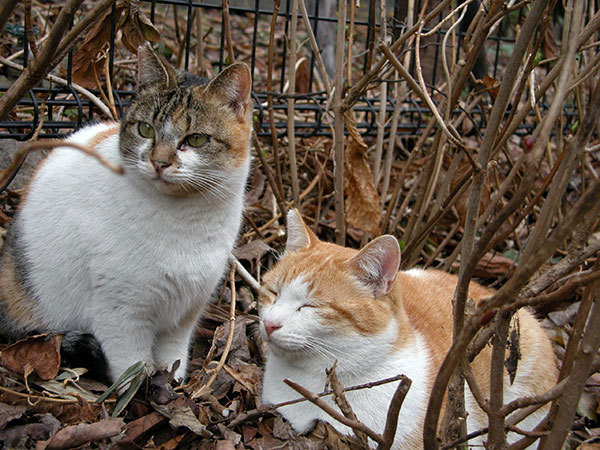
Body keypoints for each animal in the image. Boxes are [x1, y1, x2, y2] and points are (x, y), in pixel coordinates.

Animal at [0, 44, 253, 384]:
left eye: (197, 139)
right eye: (145, 129)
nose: (159, 162)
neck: (185, 220)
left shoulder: (187, 311)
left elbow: (173, 355)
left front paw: (172, 384)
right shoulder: (119, 313)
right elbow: (131, 366)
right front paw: (143, 390)